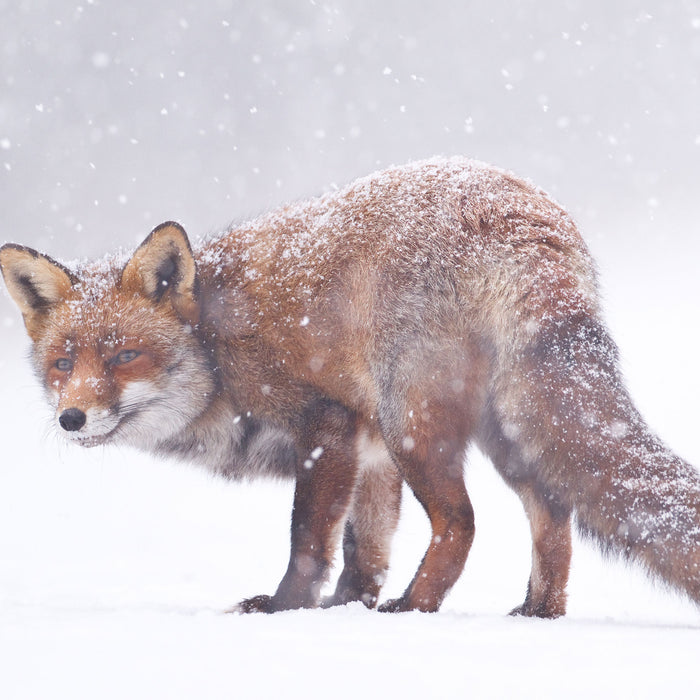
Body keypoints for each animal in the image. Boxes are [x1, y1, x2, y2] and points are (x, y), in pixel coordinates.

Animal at [1, 156, 700, 616]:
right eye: (63, 363)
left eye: (125, 356)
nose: (71, 418)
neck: (218, 348)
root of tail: (519, 214)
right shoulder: (371, 453)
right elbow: (366, 547)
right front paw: (347, 608)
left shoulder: (328, 425)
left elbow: (309, 539)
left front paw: (287, 609)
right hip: (505, 432)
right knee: (553, 516)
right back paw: (537, 613)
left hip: (415, 421)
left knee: (462, 523)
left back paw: (416, 608)